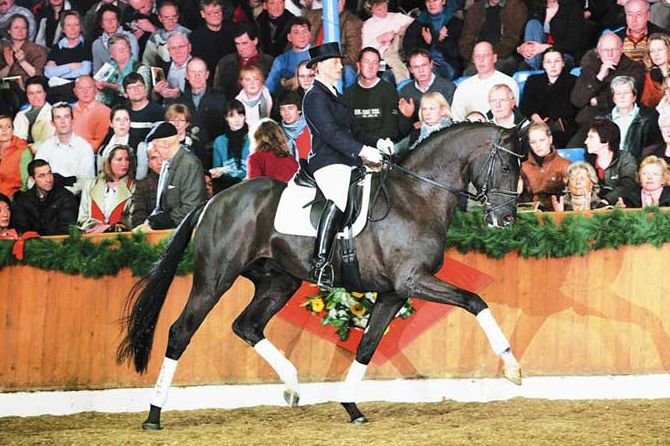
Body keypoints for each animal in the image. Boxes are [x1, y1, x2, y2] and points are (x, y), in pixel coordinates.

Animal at [117, 122, 526, 429]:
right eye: (507, 168)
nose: (506, 219)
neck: (417, 196)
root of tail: (214, 200)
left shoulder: (393, 292)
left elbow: (367, 346)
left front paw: (351, 407)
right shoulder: (412, 280)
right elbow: (474, 301)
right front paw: (512, 367)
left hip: (278, 281)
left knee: (247, 325)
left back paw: (294, 387)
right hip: (215, 279)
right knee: (180, 332)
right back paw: (153, 415)